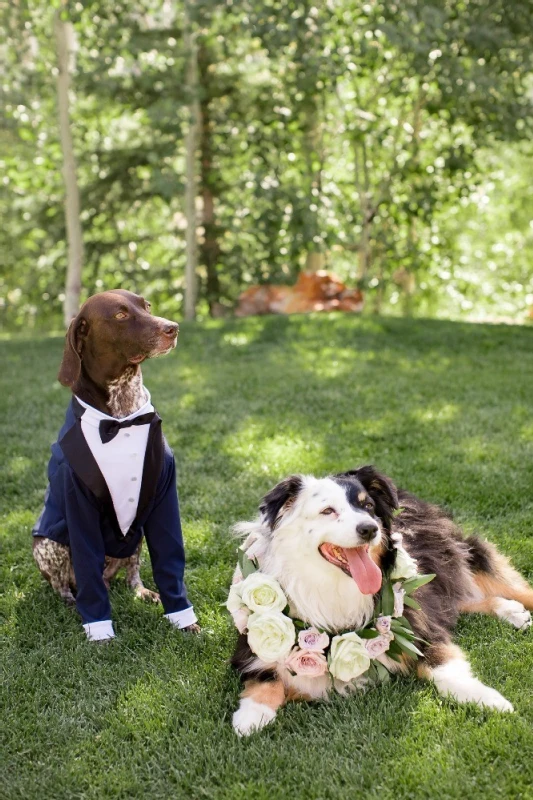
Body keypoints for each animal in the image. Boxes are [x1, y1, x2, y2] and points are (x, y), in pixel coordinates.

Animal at [33, 290, 200, 636]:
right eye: (121, 315)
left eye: (146, 306)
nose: (173, 328)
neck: (121, 417)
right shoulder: (78, 503)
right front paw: (99, 631)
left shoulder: (163, 498)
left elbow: (169, 563)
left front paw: (183, 619)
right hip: (46, 544)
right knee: (65, 582)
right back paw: (70, 600)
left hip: (136, 536)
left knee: (131, 574)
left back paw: (141, 591)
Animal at [230, 468, 532, 736]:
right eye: (327, 511)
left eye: (368, 506)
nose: (369, 528)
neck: (335, 587)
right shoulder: (251, 642)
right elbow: (265, 677)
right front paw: (251, 714)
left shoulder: (419, 625)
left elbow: (445, 669)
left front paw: (487, 698)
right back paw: (511, 610)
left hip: (463, 556)